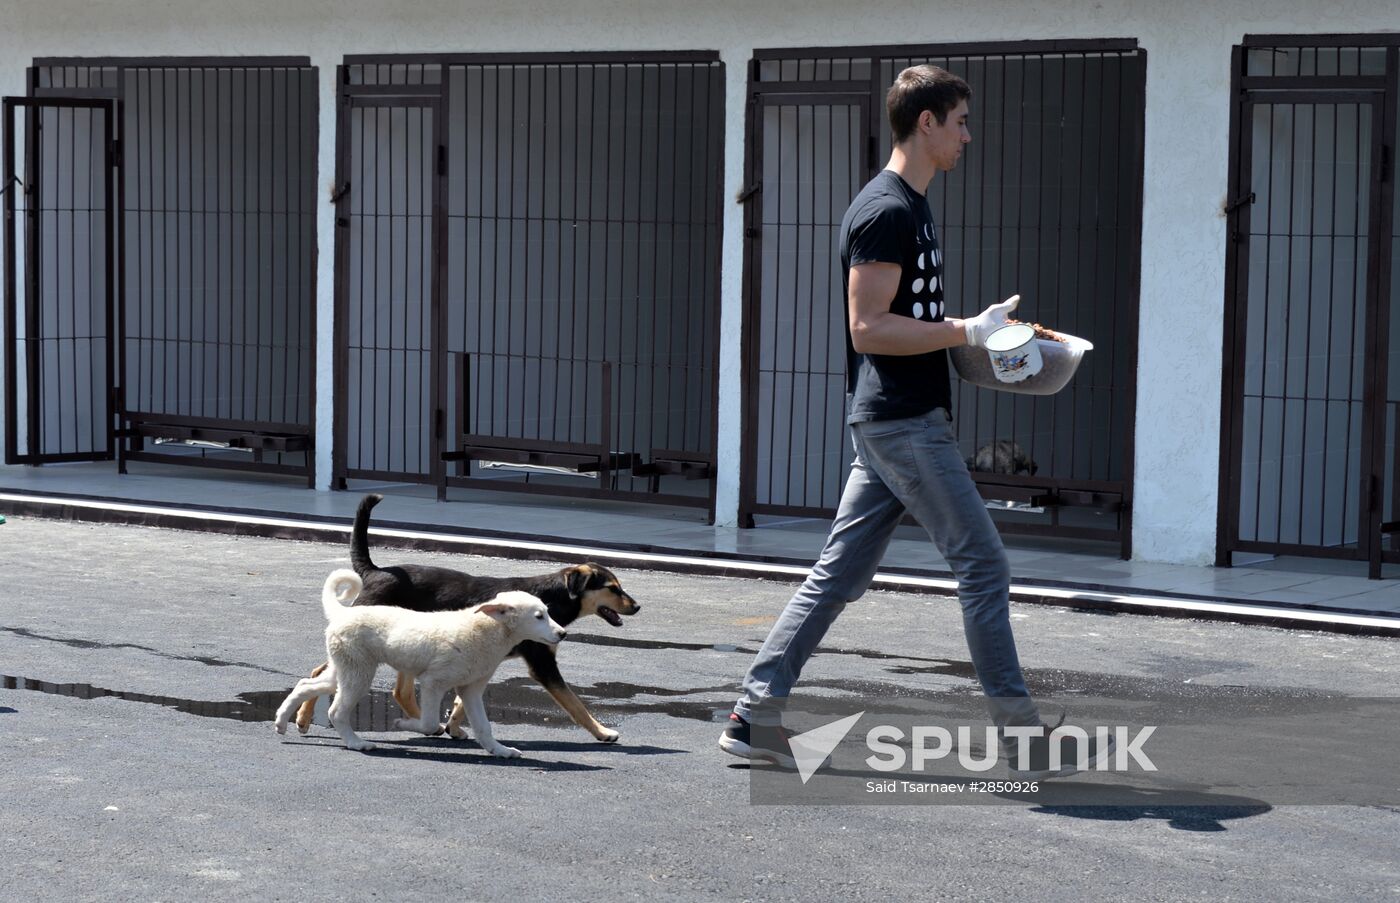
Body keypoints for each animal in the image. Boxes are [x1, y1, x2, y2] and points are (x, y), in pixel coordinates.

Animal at [275, 571, 565, 756]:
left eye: (547, 612)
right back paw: (356, 743)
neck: (484, 630)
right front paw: (402, 725)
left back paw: (281, 722)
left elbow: (484, 727)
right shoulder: (432, 683)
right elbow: (428, 723)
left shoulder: (471, 689)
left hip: (346, 668)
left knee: (306, 684)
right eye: (539, 616)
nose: (562, 634)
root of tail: (344, 613)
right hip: (358, 672)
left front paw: (499, 750)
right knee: (336, 711)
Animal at [298, 492, 646, 739]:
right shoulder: (543, 665)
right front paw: (602, 731)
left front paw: (454, 725)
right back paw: (303, 717)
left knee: (393, 689)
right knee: (319, 673)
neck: (553, 595)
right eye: (613, 588)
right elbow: (575, 703)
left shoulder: (482, 661)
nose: (637, 606)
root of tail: (375, 571)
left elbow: (462, 702)